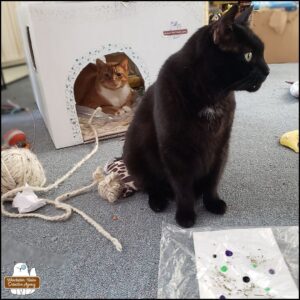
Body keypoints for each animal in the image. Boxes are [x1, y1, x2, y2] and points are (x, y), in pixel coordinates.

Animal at [122, 5, 270, 227]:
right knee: (150, 185)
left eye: (262, 52)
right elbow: (183, 187)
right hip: (133, 153)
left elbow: (213, 179)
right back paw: (159, 200)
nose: (268, 70)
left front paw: (212, 203)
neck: (214, 97)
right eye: (248, 56)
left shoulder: (221, 145)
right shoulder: (175, 149)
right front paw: (185, 215)